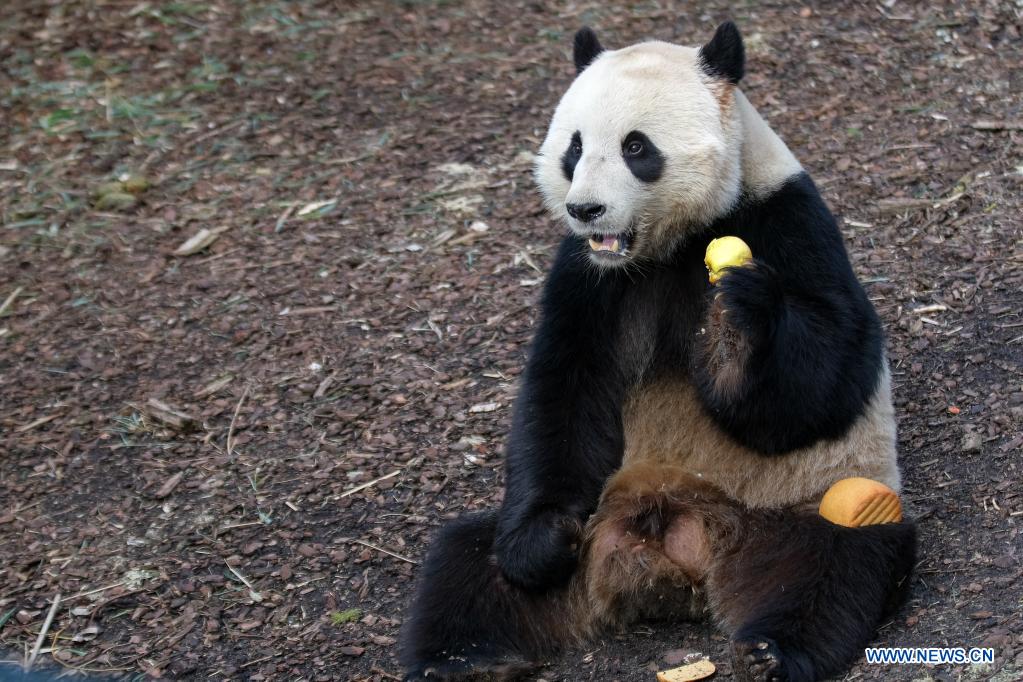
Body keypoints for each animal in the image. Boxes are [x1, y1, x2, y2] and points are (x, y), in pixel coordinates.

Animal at [398, 21, 920, 682]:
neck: (664, 246)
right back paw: (461, 657)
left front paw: (738, 321)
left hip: (808, 499)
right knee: (464, 560)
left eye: (636, 147)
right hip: (586, 517)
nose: (585, 208)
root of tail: (673, 549)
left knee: (834, 564)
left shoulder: (787, 221)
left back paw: (774, 651)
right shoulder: (586, 276)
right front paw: (541, 545)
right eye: (573, 147)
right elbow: (563, 388)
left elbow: (830, 377)